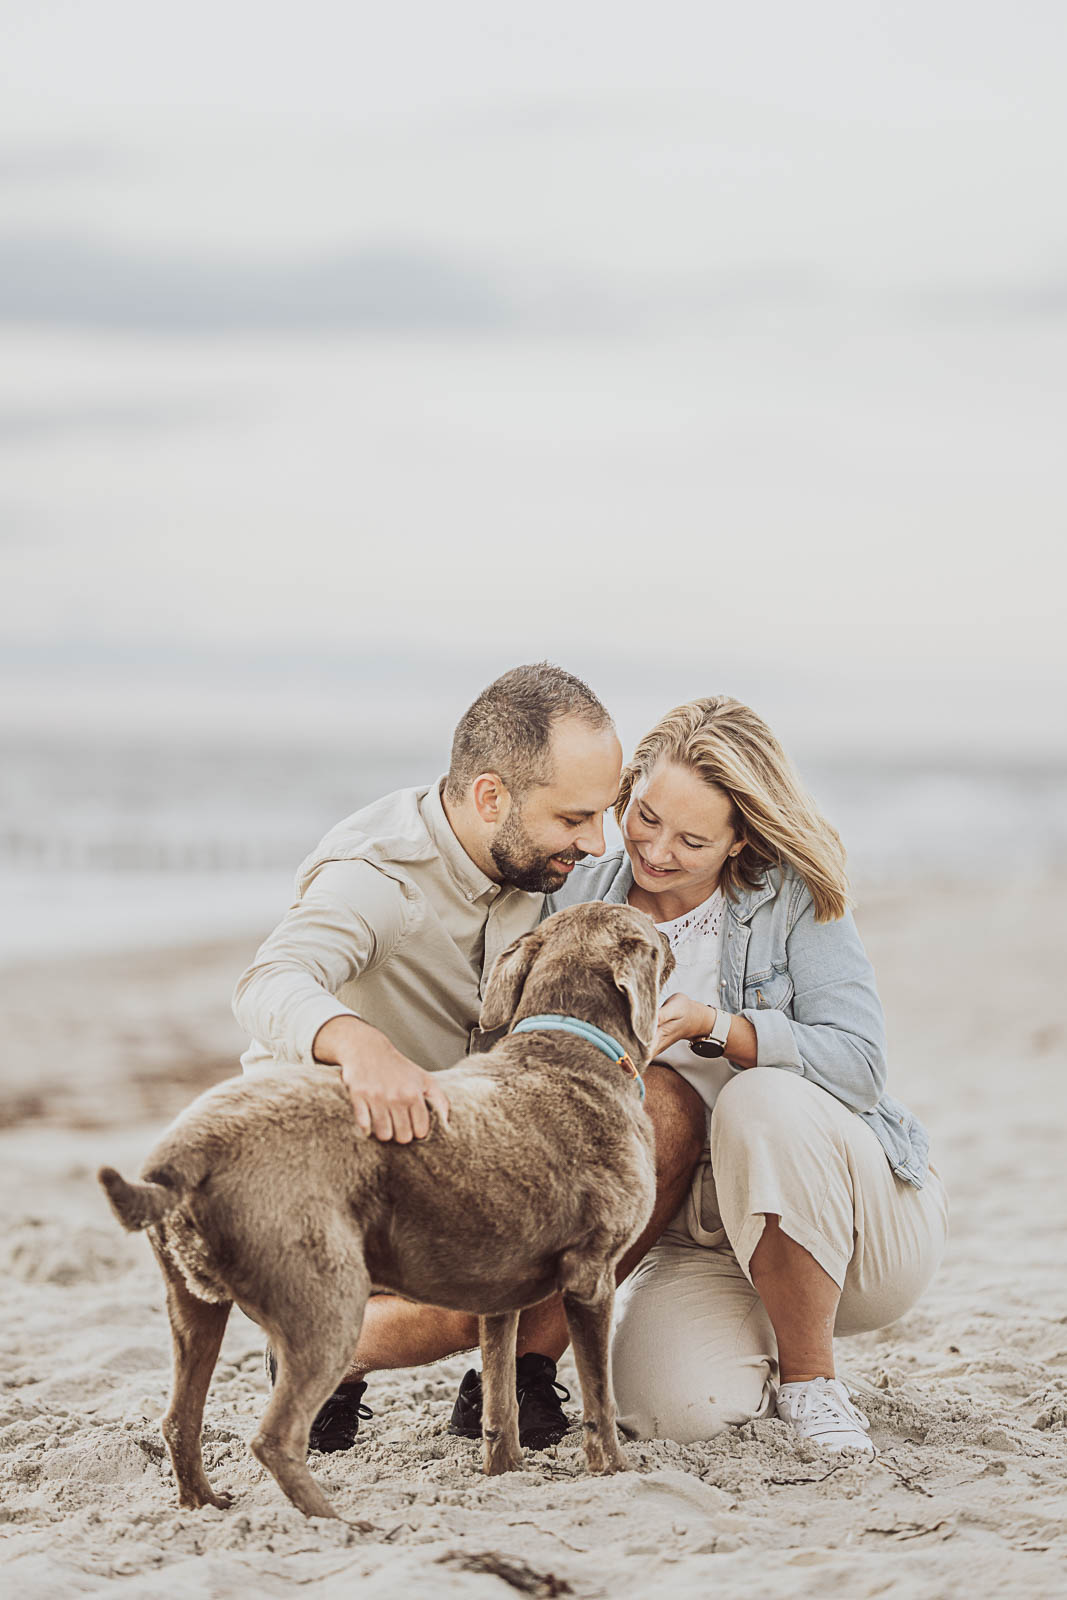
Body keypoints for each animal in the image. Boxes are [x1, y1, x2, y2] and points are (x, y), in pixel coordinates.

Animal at [95, 908, 671, 1516]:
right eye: (653, 935)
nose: (668, 927)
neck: (570, 1044)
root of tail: (187, 1154)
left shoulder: (499, 1297)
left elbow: (500, 1401)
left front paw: (506, 1472)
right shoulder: (592, 1276)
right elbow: (599, 1397)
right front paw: (614, 1470)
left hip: (193, 1306)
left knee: (179, 1419)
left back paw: (206, 1502)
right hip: (329, 1301)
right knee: (274, 1436)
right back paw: (338, 1523)